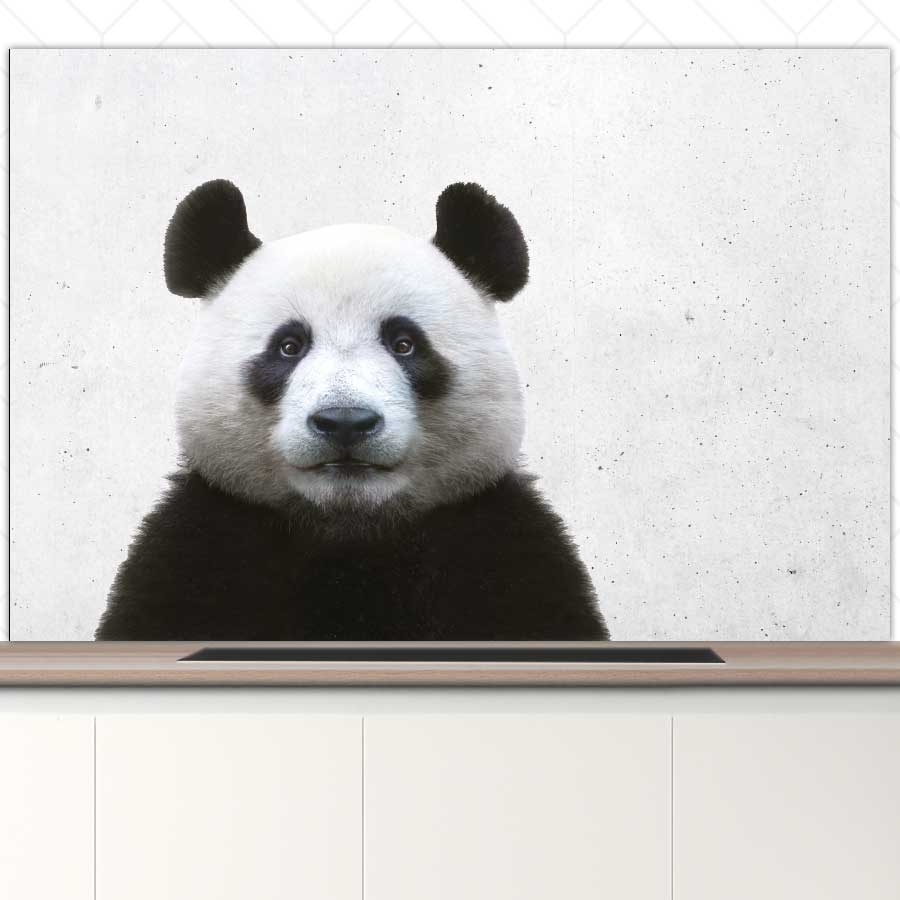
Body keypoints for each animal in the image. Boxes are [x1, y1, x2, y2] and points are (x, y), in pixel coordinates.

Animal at [95, 179, 610, 641]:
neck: (350, 531)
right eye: (289, 346)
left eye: (404, 343)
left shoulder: (499, 549)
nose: (345, 422)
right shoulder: (201, 548)